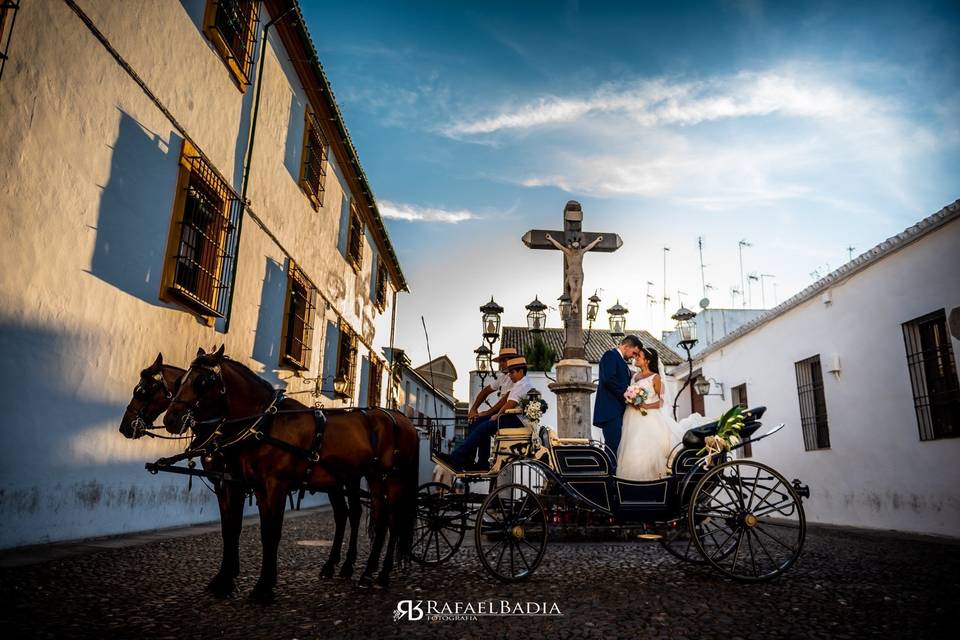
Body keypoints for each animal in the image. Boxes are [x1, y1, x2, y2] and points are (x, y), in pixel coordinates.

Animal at [123, 352, 368, 588]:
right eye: (180, 383)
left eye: (142, 390)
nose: (124, 427)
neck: (254, 423)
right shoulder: (225, 482)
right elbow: (229, 526)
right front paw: (227, 574)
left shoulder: (242, 483)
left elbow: (245, 526)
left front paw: (235, 578)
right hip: (333, 483)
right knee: (341, 515)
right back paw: (331, 565)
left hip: (352, 480)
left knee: (355, 513)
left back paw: (348, 565)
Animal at [163, 344, 418, 600]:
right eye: (181, 381)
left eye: (203, 381)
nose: (171, 419)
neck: (263, 424)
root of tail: (403, 420)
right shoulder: (248, 485)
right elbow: (237, 528)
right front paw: (227, 581)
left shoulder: (273, 485)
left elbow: (270, 531)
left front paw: (263, 586)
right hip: (357, 479)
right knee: (363, 516)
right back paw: (355, 570)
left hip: (391, 479)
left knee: (391, 519)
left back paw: (381, 574)